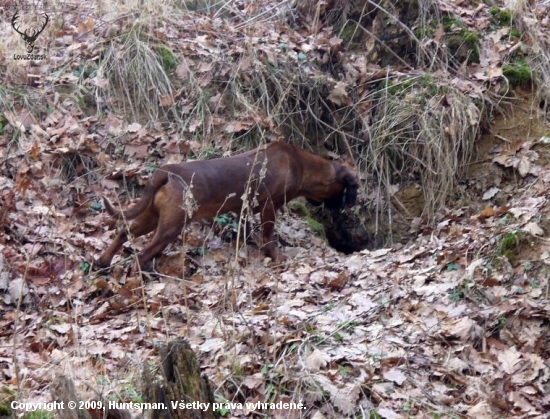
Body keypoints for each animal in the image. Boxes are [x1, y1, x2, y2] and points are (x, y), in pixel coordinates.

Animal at [97, 143, 360, 270]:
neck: (301, 164)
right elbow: (268, 236)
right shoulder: (269, 206)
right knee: (141, 255)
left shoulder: (243, 209)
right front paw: (275, 256)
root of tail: (166, 171)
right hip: (171, 226)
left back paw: (103, 261)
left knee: (124, 231)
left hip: (153, 216)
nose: (342, 210)